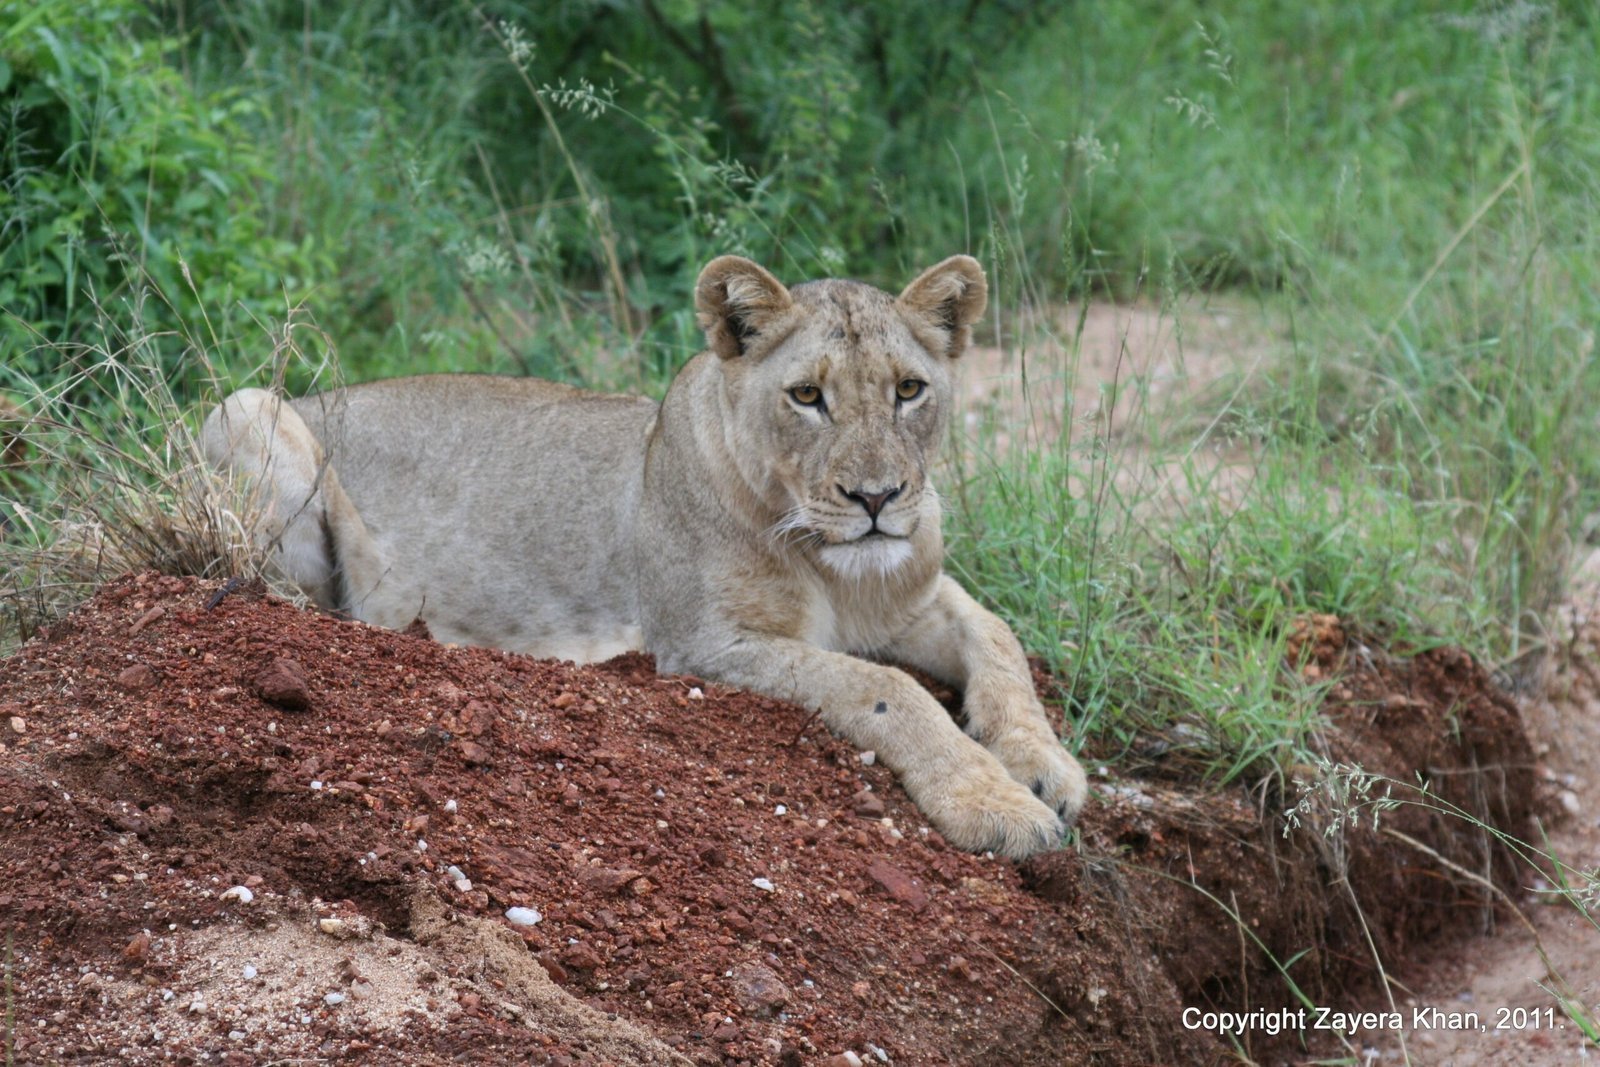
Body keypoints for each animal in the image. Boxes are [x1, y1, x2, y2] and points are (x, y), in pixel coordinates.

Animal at [202, 255, 1088, 858]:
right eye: (807, 395)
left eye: (909, 389)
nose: (876, 497)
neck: (837, 564)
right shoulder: (704, 643)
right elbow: (885, 689)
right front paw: (997, 803)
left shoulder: (915, 596)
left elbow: (999, 637)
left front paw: (1045, 765)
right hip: (245, 408)